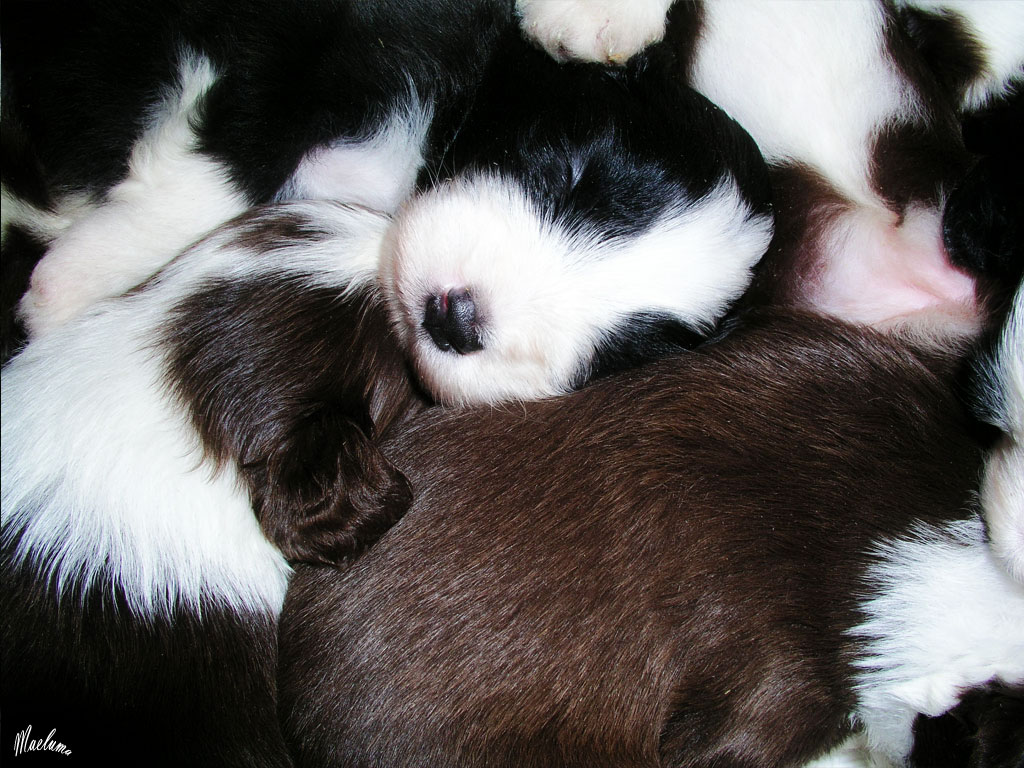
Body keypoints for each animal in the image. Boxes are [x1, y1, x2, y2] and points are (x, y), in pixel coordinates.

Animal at [0, 0, 770, 405]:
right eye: (575, 175)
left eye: (623, 350)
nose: (455, 319)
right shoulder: (313, 44)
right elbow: (233, 162)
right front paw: (78, 286)